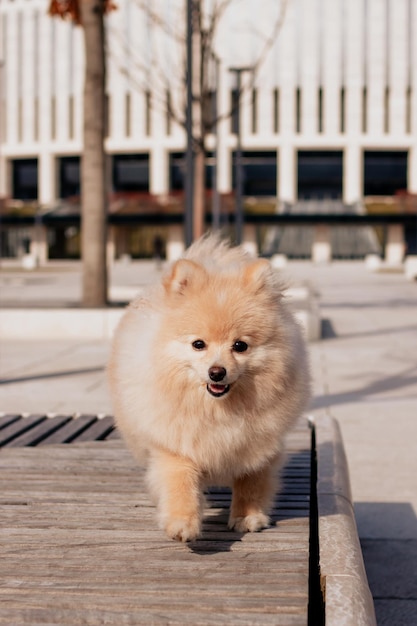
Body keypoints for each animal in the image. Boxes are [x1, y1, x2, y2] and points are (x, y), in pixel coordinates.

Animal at [107, 235, 308, 540]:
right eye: (198, 344)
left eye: (240, 346)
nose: (217, 372)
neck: (218, 410)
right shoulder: (175, 445)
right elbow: (180, 482)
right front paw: (181, 522)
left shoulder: (258, 446)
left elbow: (252, 482)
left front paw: (247, 516)